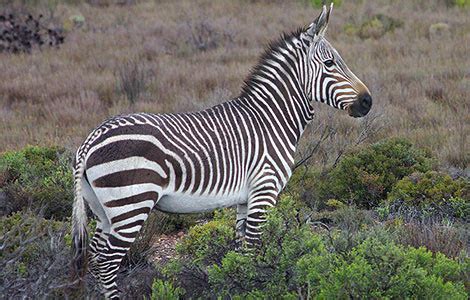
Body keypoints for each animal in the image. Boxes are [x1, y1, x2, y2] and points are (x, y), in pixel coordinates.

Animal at [71, 4, 372, 298]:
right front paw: (255, 291)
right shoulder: (264, 190)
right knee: (107, 263)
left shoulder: (245, 199)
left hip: (102, 209)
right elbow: (253, 250)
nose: (367, 102)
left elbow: (241, 253)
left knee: (95, 259)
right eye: (330, 63)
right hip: (131, 205)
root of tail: (91, 139)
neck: (270, 119)